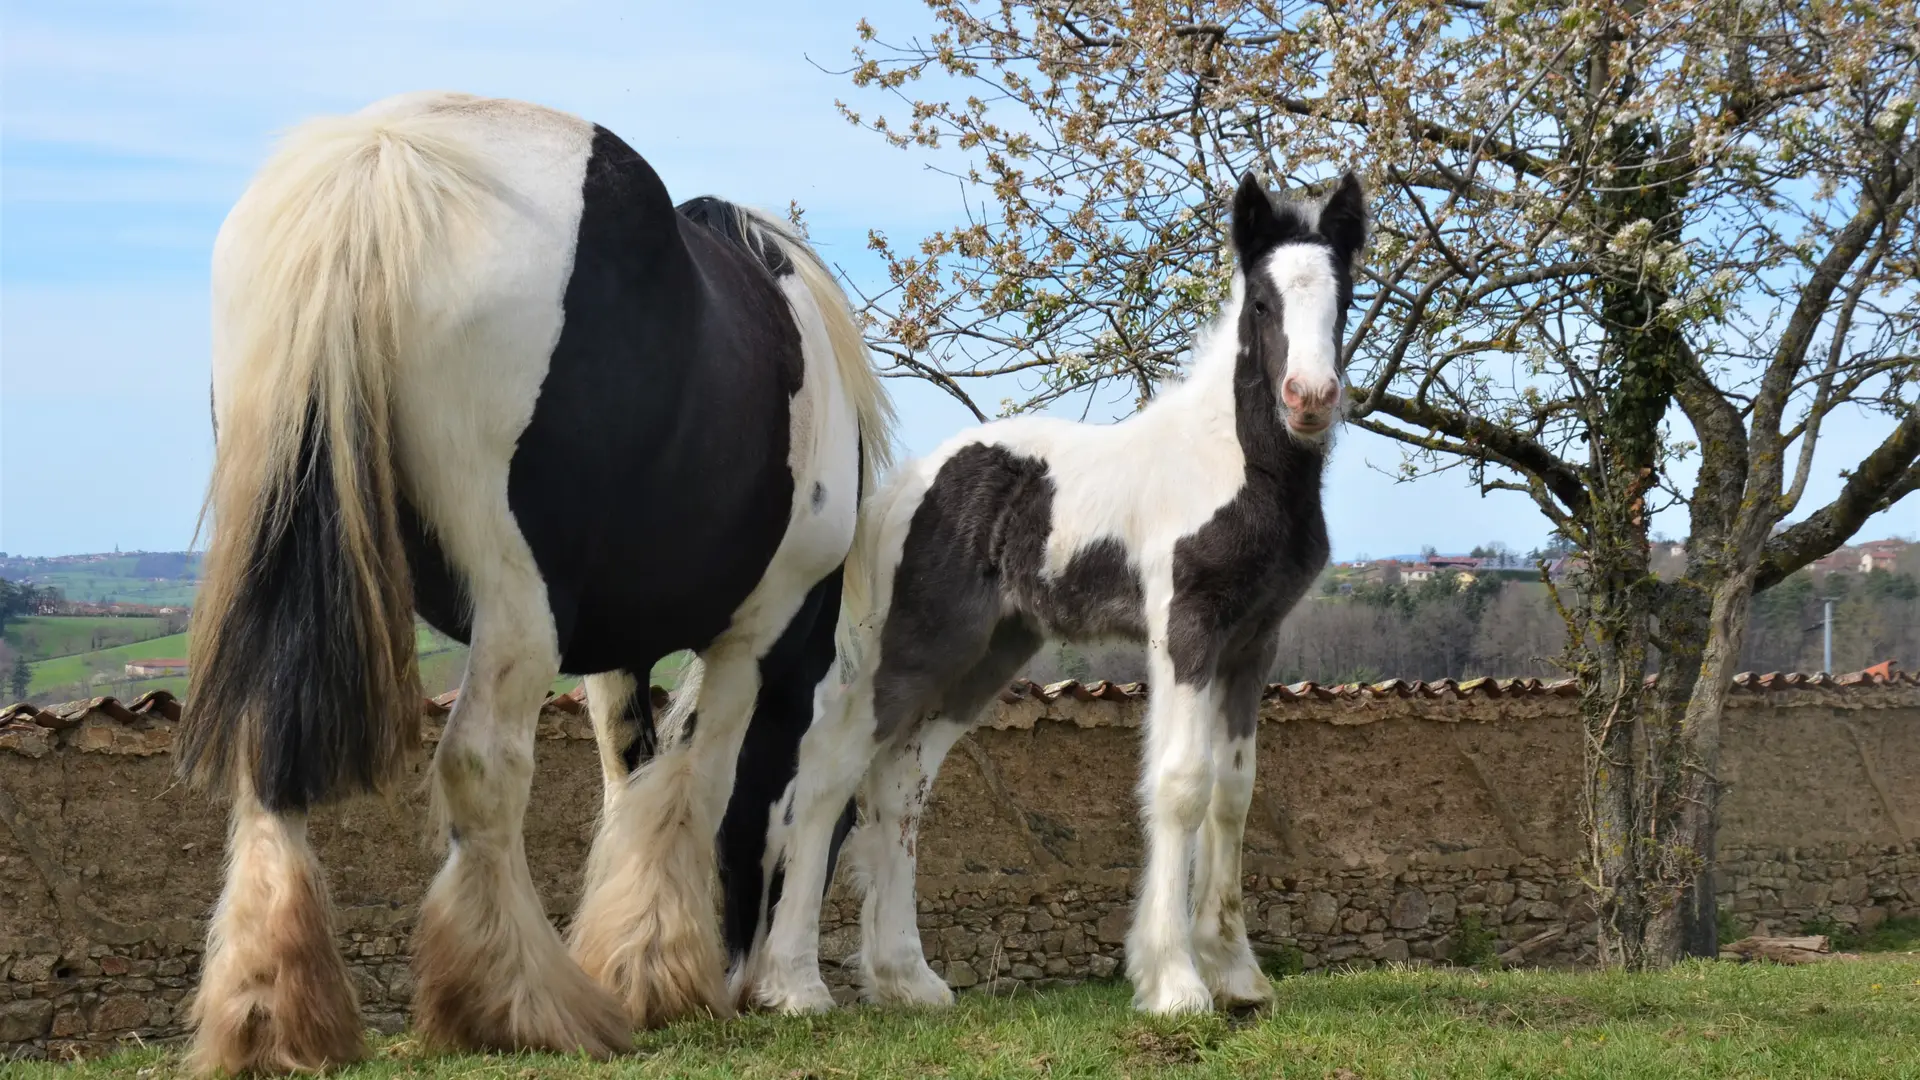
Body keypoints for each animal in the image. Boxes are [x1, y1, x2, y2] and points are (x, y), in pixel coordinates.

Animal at [176, 91, 891, 1074]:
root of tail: (382, 160)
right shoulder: (758, 629)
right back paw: (515, 1004)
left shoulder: (616, 648)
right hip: (521, 599)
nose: (769, 983)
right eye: (847, 819)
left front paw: (631, 968)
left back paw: (271, 1015)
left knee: (269, 761)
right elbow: (699, 784)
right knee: (481, 764)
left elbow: (632, 782)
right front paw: (666, 978)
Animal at [748, 172, 1367, 1016]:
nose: (1310, 398)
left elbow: (1233, 793)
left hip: (987, 653)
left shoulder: (1254, 640)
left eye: (1345, 298)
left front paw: (1238, 975)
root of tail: (906, 483)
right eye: (1264, 304)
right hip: (915, 645)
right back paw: (795, 986)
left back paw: (908, 979)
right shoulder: (1186, 630)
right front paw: (1175, 982)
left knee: (901, 786)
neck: (1232, 466)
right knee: (826, 772)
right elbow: (1181, 784)